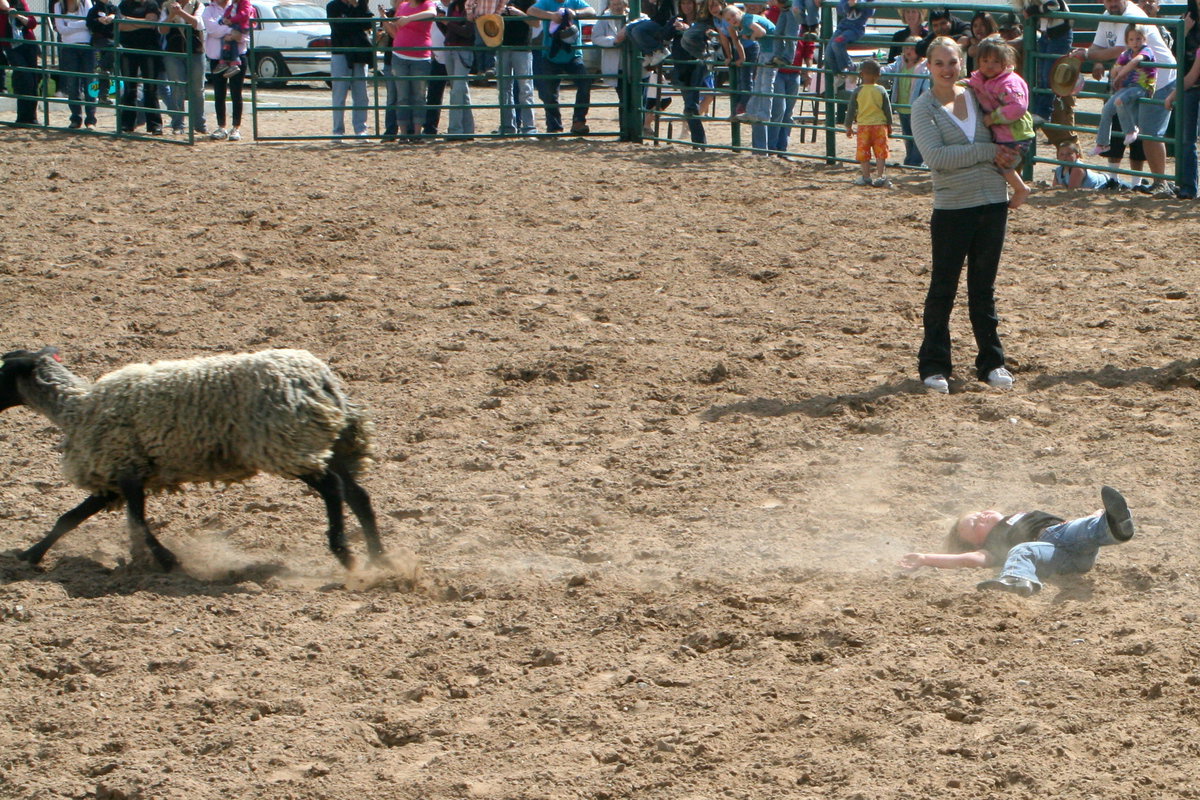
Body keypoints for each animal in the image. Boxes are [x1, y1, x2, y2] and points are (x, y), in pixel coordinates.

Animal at [0, 347, 384, 573]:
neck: (76, 408)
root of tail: (322, 381)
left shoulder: (125, 469)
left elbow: (136, 520)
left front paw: (166, 559)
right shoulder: (116, 477)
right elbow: (70, 518)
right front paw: (31, 555)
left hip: (287, 444)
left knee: (333, 489)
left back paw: (345, 553)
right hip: (325, 442)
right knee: (357, 494)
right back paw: (378, 558)